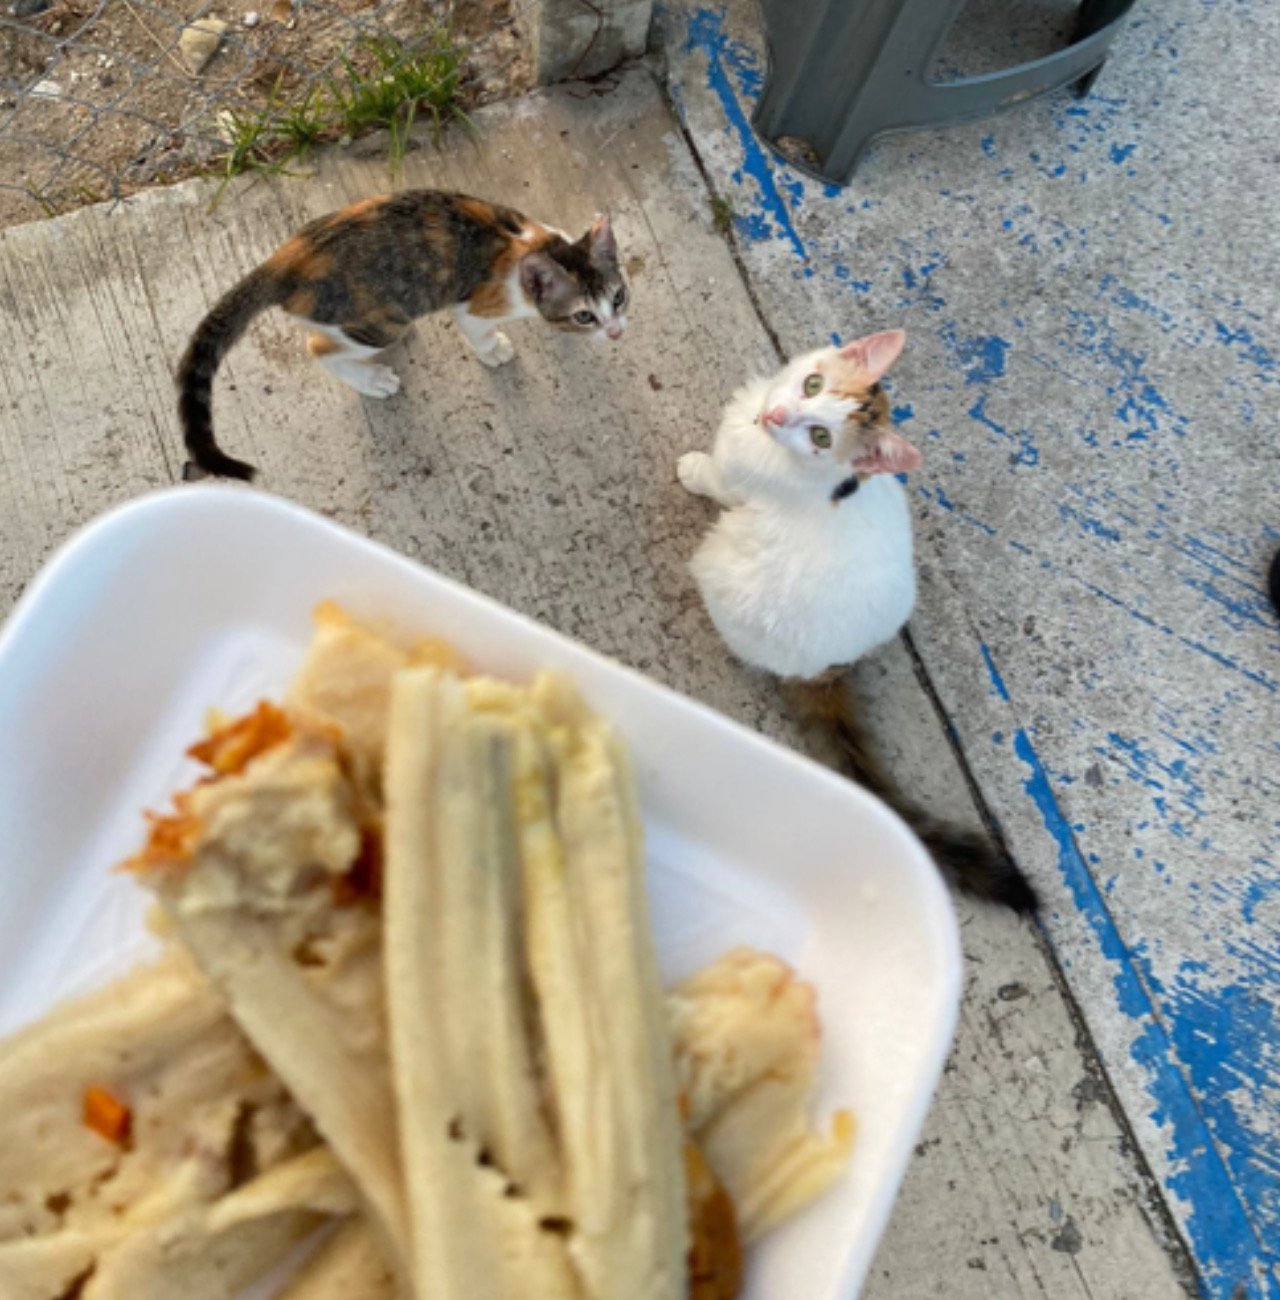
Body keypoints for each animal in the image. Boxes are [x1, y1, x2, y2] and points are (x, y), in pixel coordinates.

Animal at [175, 189, 628, 480]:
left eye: (619, 297)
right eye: (585, 315)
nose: (616, 332)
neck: (538, 246)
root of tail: (285, 260)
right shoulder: (474, 304)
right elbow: (478, 331)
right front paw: (494, 350)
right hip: (379, 318)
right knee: (318, 346)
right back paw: (371, 378)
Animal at [680, 330, 1039, 909]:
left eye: (820, 436)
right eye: (812, 384)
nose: (776, 414)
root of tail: (826, 672)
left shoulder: (740, 487)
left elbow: (715, 477)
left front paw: (693, 469)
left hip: (726, 570)